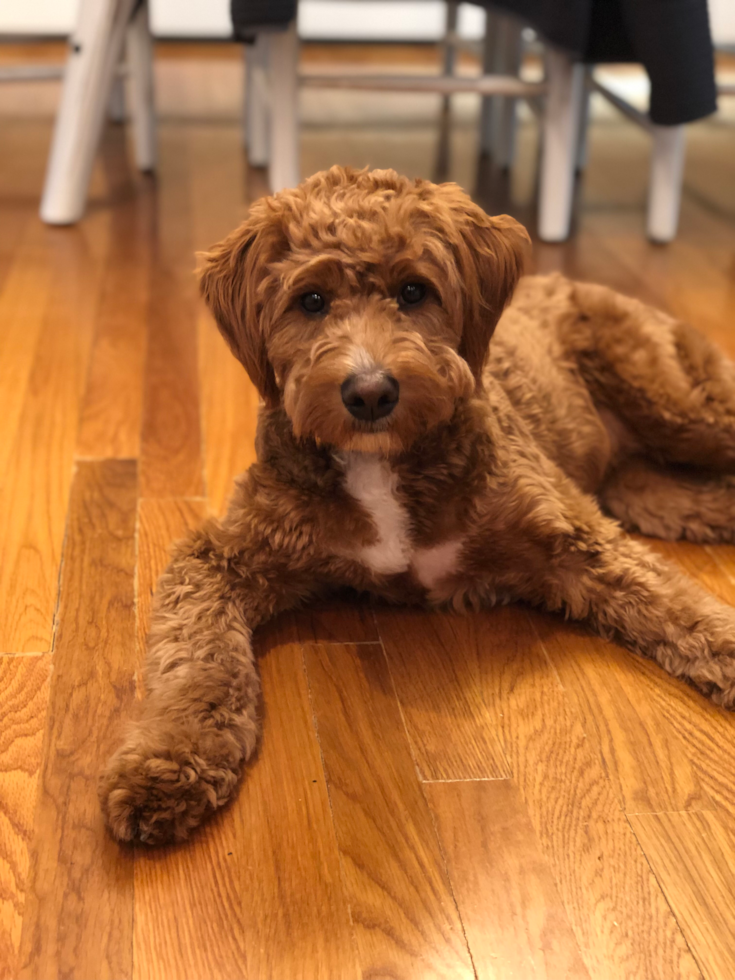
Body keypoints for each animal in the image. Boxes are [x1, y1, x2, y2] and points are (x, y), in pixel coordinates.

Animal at [100, 167, 735, 844]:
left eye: (414, 291)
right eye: (311, 301)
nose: (370, 392)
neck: (382, 464)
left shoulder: (572, 533)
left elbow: (677, 604)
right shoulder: (223, 556)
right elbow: (196, 658)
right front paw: (164, 764)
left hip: (680, 403)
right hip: (650, 487)